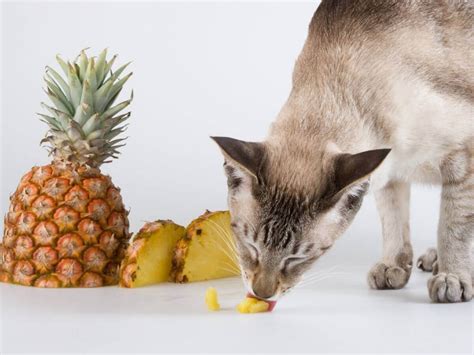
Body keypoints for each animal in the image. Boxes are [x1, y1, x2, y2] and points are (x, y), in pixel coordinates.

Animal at [213, 0, 472, 306]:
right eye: (251, 247)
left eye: (297, 258)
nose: (262, 294)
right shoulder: (389, 169)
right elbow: (394, 222)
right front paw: (392, 267)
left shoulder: (462, 159)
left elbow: (453, 227)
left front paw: (452, 277)